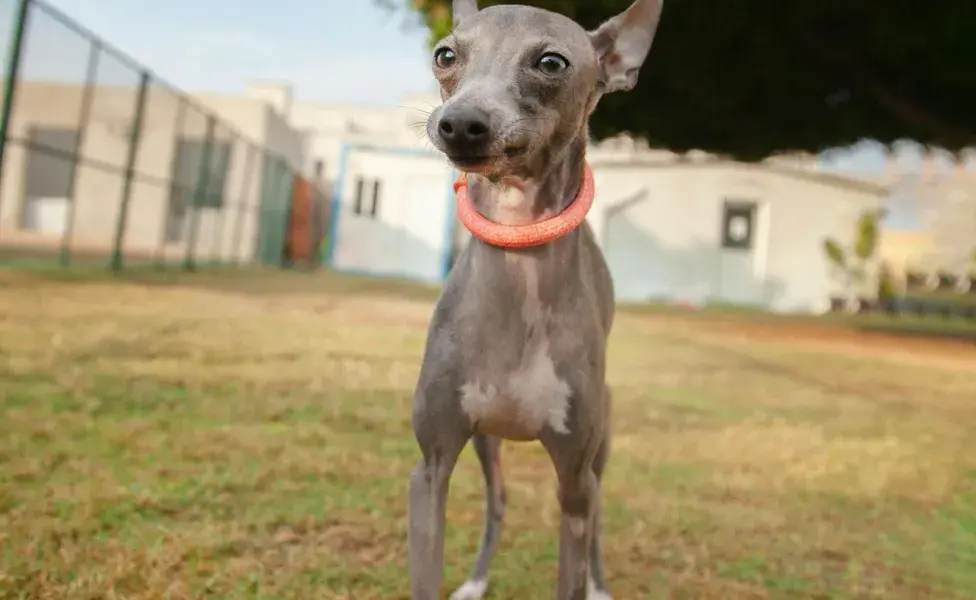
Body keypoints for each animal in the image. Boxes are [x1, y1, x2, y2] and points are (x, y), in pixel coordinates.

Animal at [408, 2, 668, 596]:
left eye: (551, 62)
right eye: (445, 54)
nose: (460, 123)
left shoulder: (573, 479)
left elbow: (576, 547)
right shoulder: (430, 467)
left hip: (597, 456)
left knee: (597, 518)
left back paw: (600, 585)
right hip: (488, 441)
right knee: (499, 501)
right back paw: (476, 580)